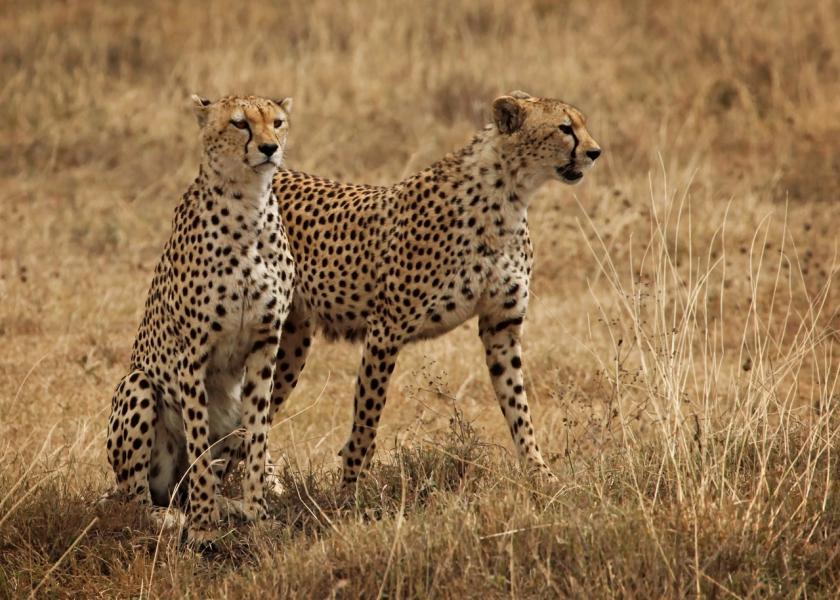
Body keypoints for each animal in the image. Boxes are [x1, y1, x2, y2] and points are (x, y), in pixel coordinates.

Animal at [105, 94, 295, 541]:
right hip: (137, 385)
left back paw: (228, 505)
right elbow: (197, 440)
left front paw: (256, 514)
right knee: (138, 497)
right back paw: (172, 515)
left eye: (277, 122)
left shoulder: (266, 344)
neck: (248, 206)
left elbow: (258, 439)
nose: (269, 149)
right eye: (240, 124)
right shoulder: (192, 352)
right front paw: (205, 528)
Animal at [267, 91, 601, 485]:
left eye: (582, 124)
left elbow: (518, 406)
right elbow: (368, 413)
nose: (595, 152)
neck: (508, 196)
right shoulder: (385, 330)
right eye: (565, 128)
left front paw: (541, 474)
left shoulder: (501, 326)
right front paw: (351, 486)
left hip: (292, 339)